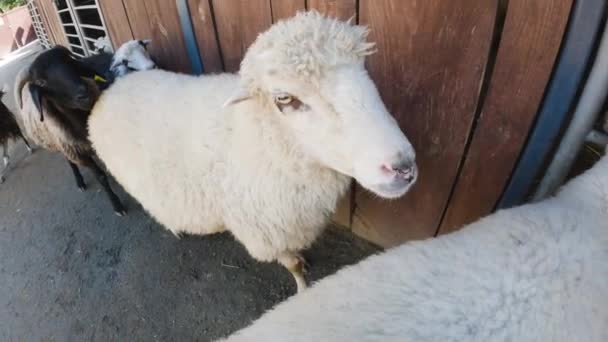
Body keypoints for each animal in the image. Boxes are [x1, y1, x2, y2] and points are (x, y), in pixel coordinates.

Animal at [86, 11, 418, 292]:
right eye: (284, 99)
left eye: (363, 70)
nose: (403, 166)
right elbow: (293, 265)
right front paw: (303, 289)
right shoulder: (264, 231)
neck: (258, 140)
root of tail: (115, 87)